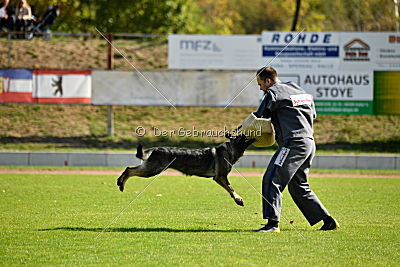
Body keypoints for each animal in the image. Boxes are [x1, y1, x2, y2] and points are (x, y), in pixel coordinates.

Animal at [117, 134, 255, 207]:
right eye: (242, 137)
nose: (250, 134)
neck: (231, 149)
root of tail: (154, 149)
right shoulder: (220, 177)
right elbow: (231, 188)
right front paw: (238, 199)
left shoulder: (220, 178)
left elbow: (230, 189)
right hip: (151, 170)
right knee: (130, 170)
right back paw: (121, 183)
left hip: (150, 168)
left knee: (130, 169)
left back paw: (120, 183)